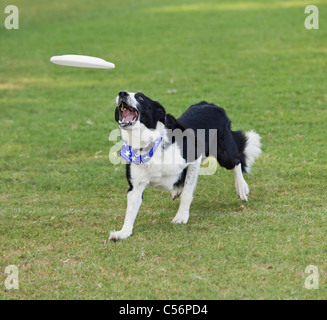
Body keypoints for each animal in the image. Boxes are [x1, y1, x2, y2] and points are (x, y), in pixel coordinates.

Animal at [109, 90, 262, 240]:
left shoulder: (194, 158)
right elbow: (130, 211)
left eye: (140, 97)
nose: (122, 93)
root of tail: (211, 104)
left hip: (225, 154)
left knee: (236, 161)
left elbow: (187, 192)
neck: (149, 145)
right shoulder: (135, 187)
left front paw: (181, 217)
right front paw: (124, 232)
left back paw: (241, 187)